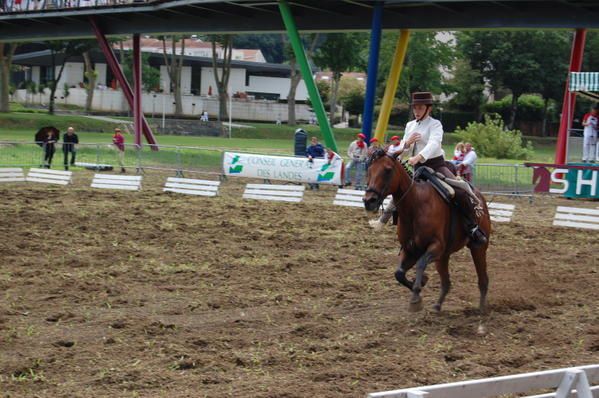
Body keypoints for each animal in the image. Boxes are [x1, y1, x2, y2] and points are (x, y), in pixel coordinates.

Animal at [364, 149, 490, 314]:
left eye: (388, 170)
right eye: (369, 169)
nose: (369, 201)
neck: (416, 206)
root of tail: (480, 200)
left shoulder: (435, 247)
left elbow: (421, 264)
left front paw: (416, 297)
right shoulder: (411, 250)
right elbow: (399, 273)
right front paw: (421, 283)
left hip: (478, 248)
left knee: (483, 280)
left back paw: (481, 309)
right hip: (443, 257)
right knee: (446, 282)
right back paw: (437, 306)